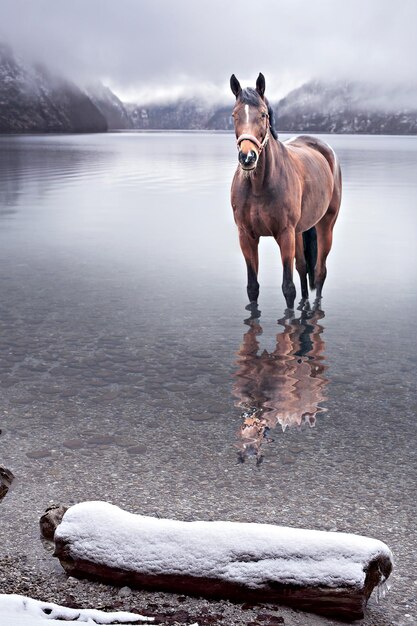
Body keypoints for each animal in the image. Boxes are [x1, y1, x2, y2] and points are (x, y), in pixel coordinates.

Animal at [229, 73, 340, 308]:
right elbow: (253, 288)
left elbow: (288, 288)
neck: (259, 186)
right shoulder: (246, 236)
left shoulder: (285, 234)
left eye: (263, 114)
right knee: (303, 268)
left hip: (325, 225)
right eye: (234, 115)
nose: (247, 157)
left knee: (319, 272)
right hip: (299, 231)